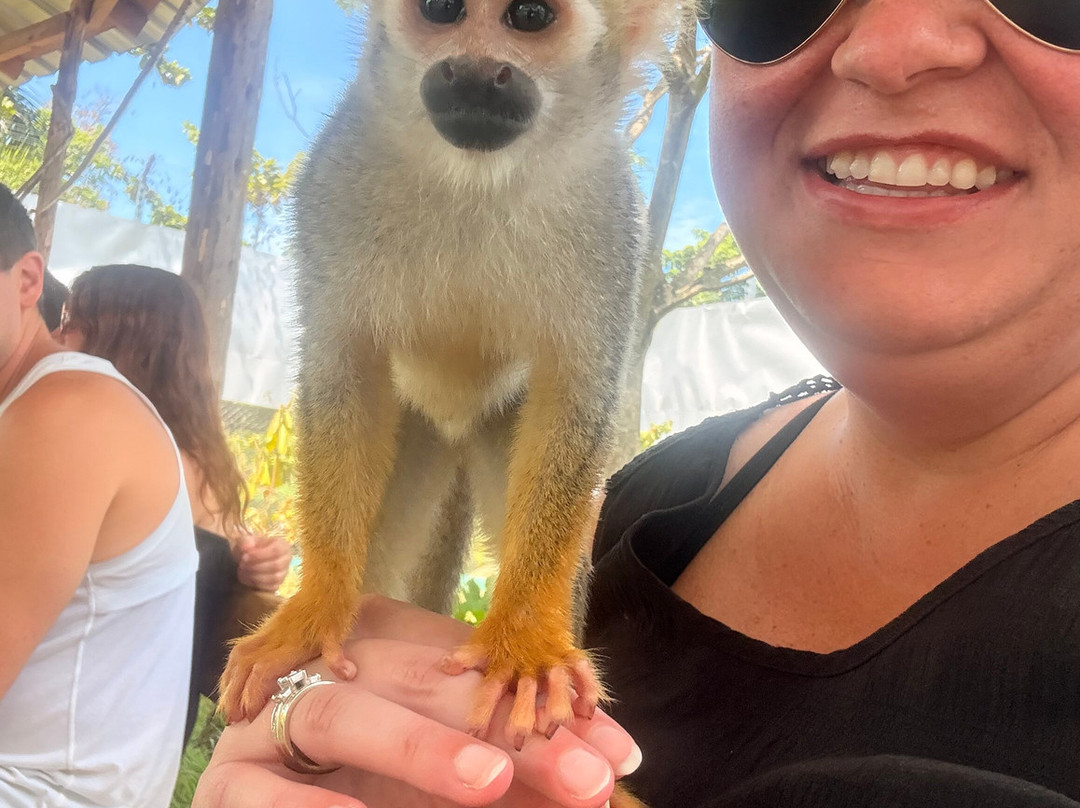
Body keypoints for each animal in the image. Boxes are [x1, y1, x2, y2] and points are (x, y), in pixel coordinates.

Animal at [219, 0, 677, 759]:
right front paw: (314, 610)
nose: (473, 71)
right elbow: (345, 367)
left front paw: (525, 637)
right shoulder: (334, 178)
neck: (474, 178)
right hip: (420, 433)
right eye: (441, 10)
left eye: (529, 17)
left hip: (494, 427)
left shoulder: (612, 217)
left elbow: (576, 391)